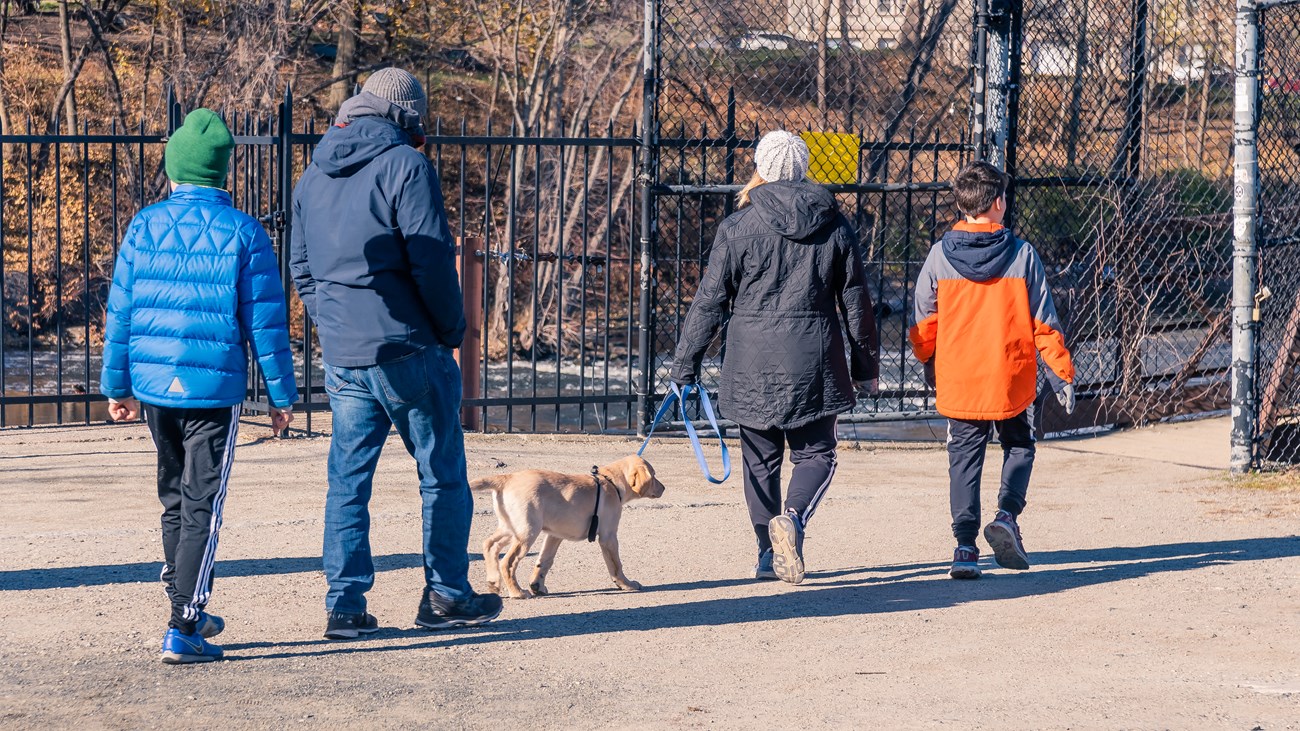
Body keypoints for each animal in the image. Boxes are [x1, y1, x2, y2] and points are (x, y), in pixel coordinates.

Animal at [473, 455, 665, 598]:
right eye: (654, 475)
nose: (663, 488)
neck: (611, 482)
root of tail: (507, 478)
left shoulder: (554, 536)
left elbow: (544, 561)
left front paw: (537, 586)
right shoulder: (608, 536)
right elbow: (616, 564)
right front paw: (626, 583)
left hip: (510, 528)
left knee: (489, 545)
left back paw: (493, 582)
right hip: (527, 532)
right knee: (507, 561)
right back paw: (517, 592)